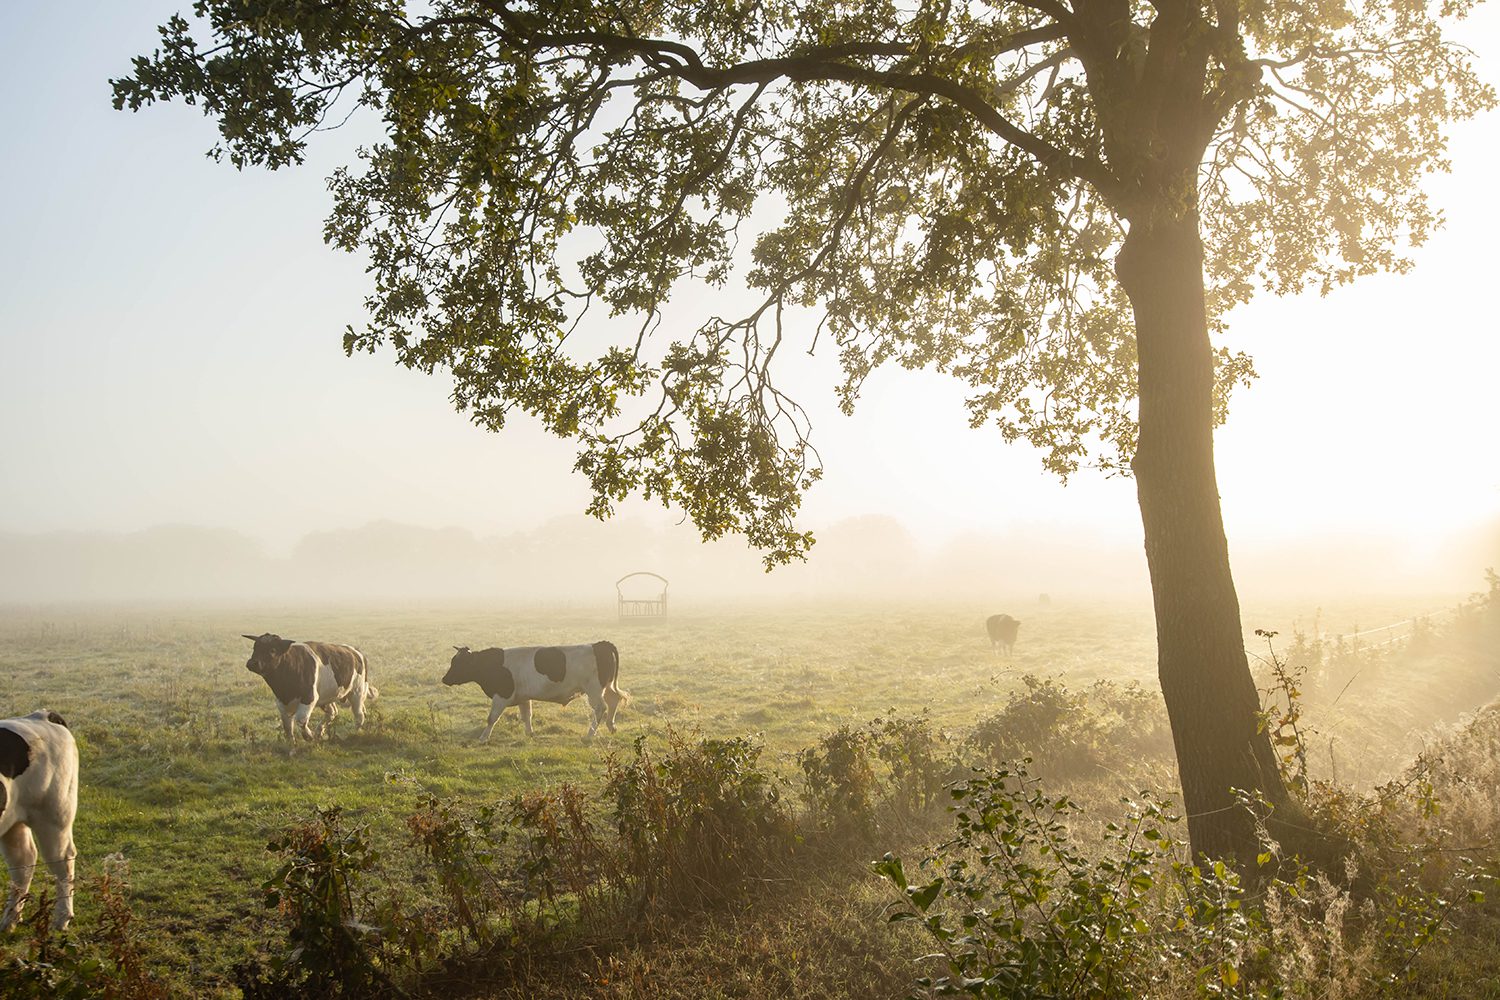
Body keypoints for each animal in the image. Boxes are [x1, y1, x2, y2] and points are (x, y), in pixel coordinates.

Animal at [0, 707, 77, 935]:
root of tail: (41, 716)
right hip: (12, 821)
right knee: (23, 862)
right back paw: (10, 919)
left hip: (54, 816)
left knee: (63, 861)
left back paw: (61, 918)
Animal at [240, 632, 381, 743]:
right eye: (255, 647)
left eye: (272, 650)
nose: (252, 663)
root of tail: (356, 652)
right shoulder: (282, 702)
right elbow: (287, 726)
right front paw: (292, 744)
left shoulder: (309, 697)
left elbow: (301, 720)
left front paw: (309, 736)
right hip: (326, 696)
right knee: (332, 712)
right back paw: (319, 731)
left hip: (357, 692)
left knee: (359, 715)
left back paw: (353, 733)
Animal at [438, 641, 627, 743]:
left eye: (458, 664)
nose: (445, 679)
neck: (494, 664)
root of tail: (599, 644)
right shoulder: (523, 697)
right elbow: (526, 715)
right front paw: (530, 734)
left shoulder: (501, 696)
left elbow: (492, 718)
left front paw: (483, 737)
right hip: (606, 687)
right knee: (614, 700)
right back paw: (611, 726)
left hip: (593, 689)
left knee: (600, 708)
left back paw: (589, 736)